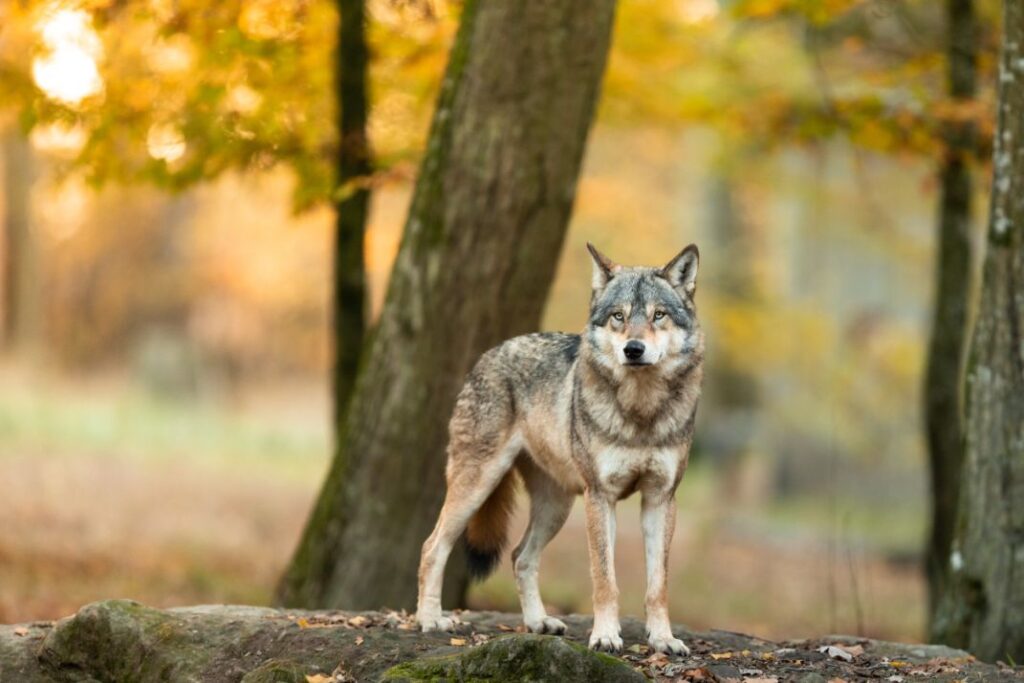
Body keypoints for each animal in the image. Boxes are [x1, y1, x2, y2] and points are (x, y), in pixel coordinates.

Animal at [416, 243, 704, 655]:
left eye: (658, 315)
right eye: (618, 317)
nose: (634, 349)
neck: (641, 412)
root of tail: (493, 351)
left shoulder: (660, 499)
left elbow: (657, 585)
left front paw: (664, 639)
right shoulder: (600, 497)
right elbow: (604, 578)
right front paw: (605, 636)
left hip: (557, 505)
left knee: (520, 556)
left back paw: (538, 623)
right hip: (477, 486)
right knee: (433, 546)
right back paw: (430, 620)